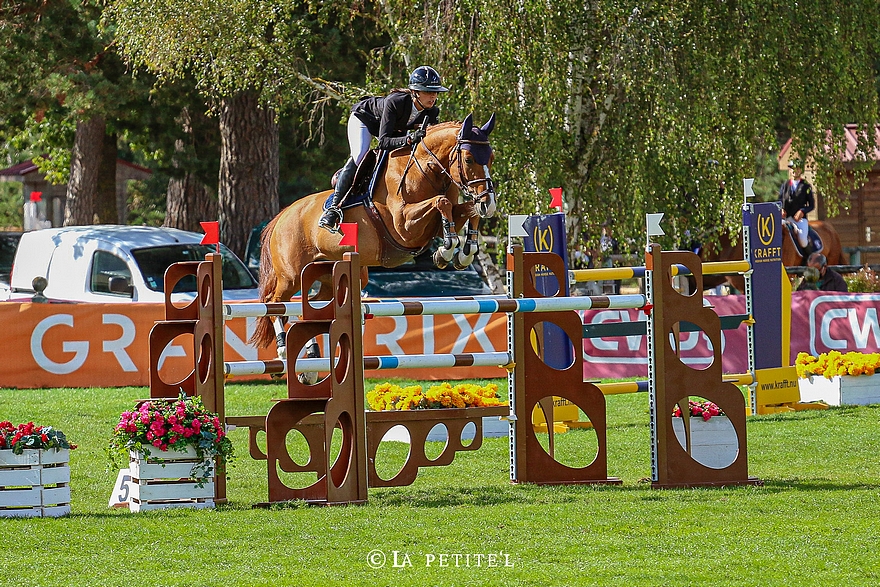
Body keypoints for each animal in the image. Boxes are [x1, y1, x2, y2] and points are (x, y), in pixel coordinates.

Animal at [249, 113, 496, 354]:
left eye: (491, 158)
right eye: (469, 159)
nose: (489, 203)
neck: (424, 170)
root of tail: (281, 216)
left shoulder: (444, 217)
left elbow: (468, 210)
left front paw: (465, 252)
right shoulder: (404, 226)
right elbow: (441, 202)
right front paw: (446, 251)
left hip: (331, 276)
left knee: (306, 308)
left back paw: (310, 354)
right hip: (291, 276)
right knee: (275, 301)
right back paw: (283, 346)